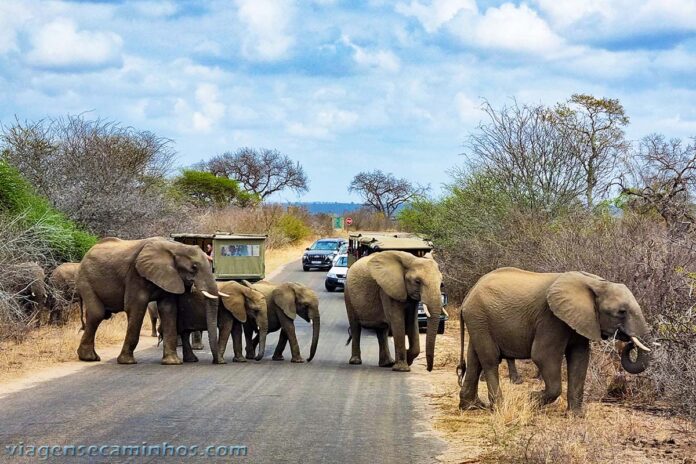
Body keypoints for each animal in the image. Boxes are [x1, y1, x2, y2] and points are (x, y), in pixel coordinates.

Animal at [76, 237, 224, 364]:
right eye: (194, 267)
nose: (216, 361)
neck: (175, 247)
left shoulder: (170, 277)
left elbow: (168, 309)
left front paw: (172, 362)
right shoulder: (136, 274)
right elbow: (136, 307)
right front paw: (127, 362)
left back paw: (91, 357)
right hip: (85, 279)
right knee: (97, 314)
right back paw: (89, 358)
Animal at [456, 268, 652, 414]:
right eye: (621, 312)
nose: (629, 343)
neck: (596, 283)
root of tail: (467, 296)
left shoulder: (580, 319)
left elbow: (580, 358)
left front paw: (576, 415)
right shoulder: (551, 318)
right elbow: (543, 355)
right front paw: (531, 398)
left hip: (478, 321)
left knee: (474, 359)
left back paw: (472, 406)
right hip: (480, 317)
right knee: (490, 360)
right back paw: (498, 407)